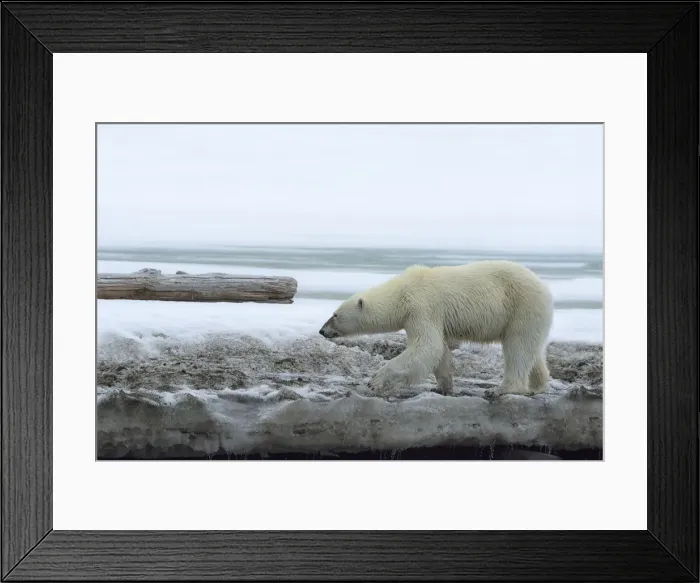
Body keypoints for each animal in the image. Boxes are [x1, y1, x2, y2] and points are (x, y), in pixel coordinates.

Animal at [319, 260, 553, 396]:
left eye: (335, 314)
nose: (322, 330)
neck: (401, 293)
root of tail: (544, 288)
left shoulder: (421, 307)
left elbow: (426, 347)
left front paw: (375, 380)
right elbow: (439, 350)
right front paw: (443, 386)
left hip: (521, 306)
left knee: (518, 347)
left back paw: (502, 389)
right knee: (531, 350)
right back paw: (537, 385)